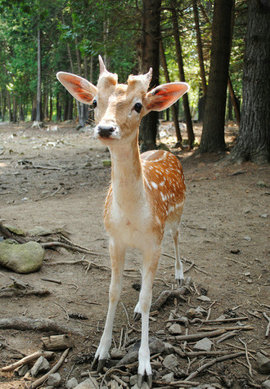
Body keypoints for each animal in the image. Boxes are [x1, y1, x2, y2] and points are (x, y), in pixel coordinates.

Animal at [56, 56, 189, 386]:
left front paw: (144, 367)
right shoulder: (114, 239)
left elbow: (147, 297)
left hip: (176, 214)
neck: (131, 217)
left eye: (138, 105)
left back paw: (180, 276)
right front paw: (100, 354)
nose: (106, 128)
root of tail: (165, 150)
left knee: (178, 237)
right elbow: (113, 292)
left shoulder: (154, 241)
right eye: (94, 102)